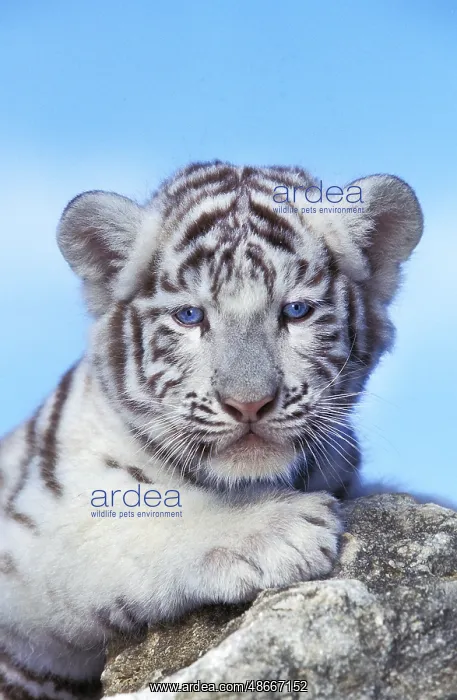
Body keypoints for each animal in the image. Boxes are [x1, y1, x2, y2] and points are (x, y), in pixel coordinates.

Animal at [0, 161, 423, 699]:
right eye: (190, 316)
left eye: (296, 311)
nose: (249, 404)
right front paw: (275, 529)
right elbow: (119, 520)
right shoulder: (29, 537)